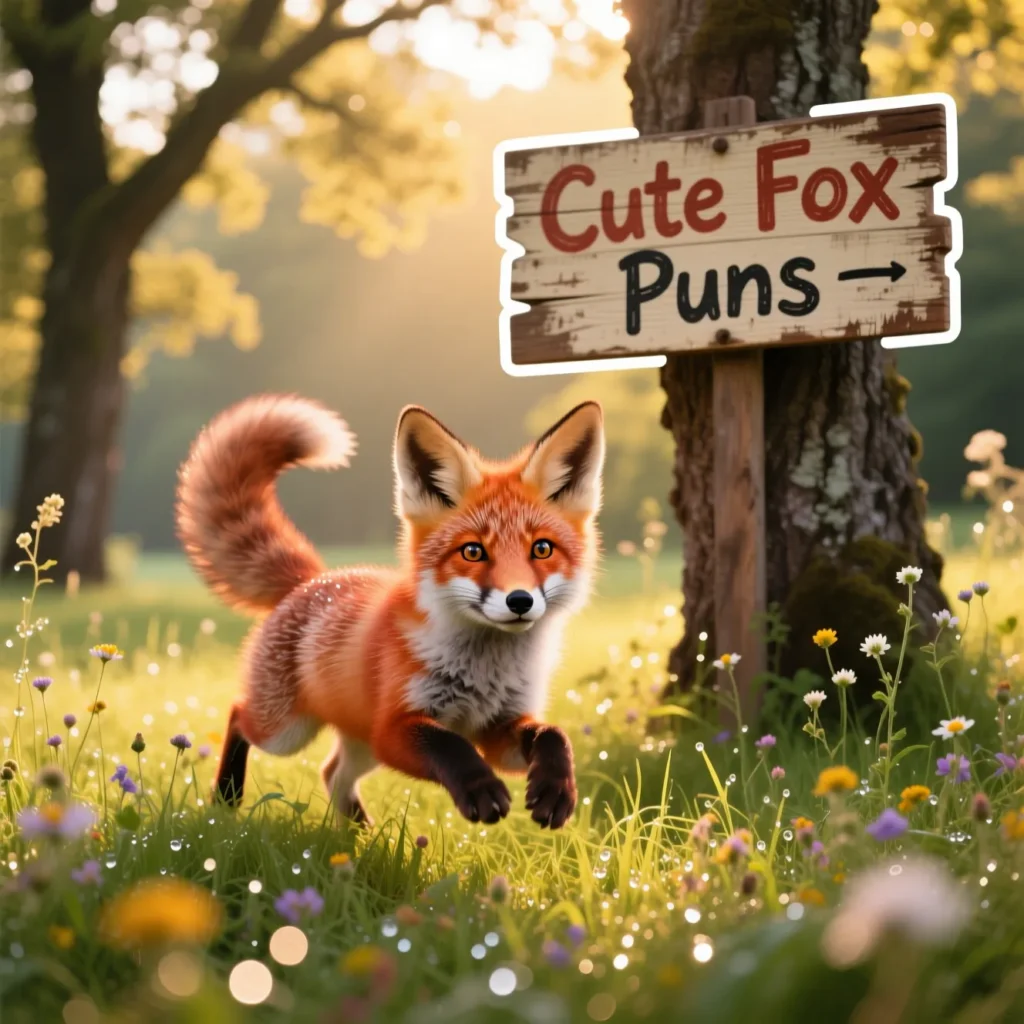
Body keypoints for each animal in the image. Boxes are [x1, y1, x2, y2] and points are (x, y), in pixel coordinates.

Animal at [175, 394, 604, 829]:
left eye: (542, 549)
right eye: (472, 551)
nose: (519, 601)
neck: (484, 673)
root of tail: (314, 578)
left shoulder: (501, 728)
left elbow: (553, 735)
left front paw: (555, 790)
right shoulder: (393, 728)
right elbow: (449, 743)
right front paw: (480, 791)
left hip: (358, 744)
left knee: (332, 773)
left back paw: (358, 834)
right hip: (287, 732)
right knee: (238, 716)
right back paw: (227, 797)